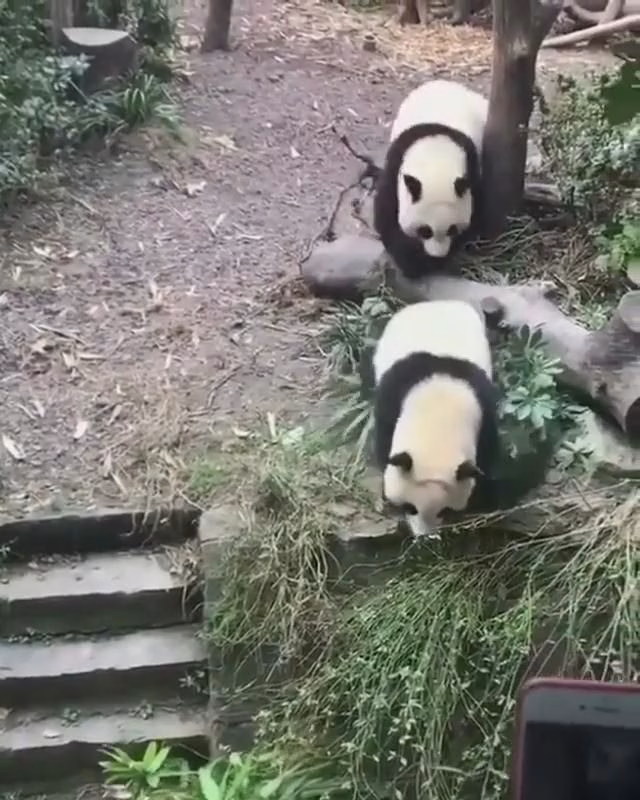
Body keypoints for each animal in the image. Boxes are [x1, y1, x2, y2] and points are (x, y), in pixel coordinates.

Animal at [373, 79, 489, 282]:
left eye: (452, 229)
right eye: (425, 230)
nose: (437, 255)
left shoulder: (473, 167)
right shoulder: (396, 164)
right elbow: (386, 215)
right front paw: (412, 262)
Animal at [373, 299, 499, 539]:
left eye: (445, 511)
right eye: (410, 507)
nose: (425, 537)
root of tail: (440, 302)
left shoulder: (486, 406)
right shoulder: (392, 395)